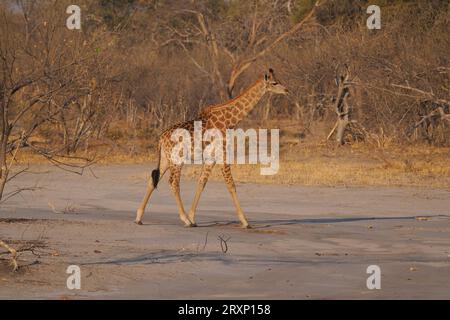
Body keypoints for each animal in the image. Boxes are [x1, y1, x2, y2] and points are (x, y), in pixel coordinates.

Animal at [135, 68, 288, 228]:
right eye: (274, 82)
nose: (287, 90)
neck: (229, 121)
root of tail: (161, 138)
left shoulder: (211, 158)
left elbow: (201, 183)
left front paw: (193, 218)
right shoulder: (223, 154)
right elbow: (231, 185)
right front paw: (245, 222)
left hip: (166, 159)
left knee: (153, 179)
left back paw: (139, 217)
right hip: (176, 160)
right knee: (173, 182)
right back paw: (184, 219)